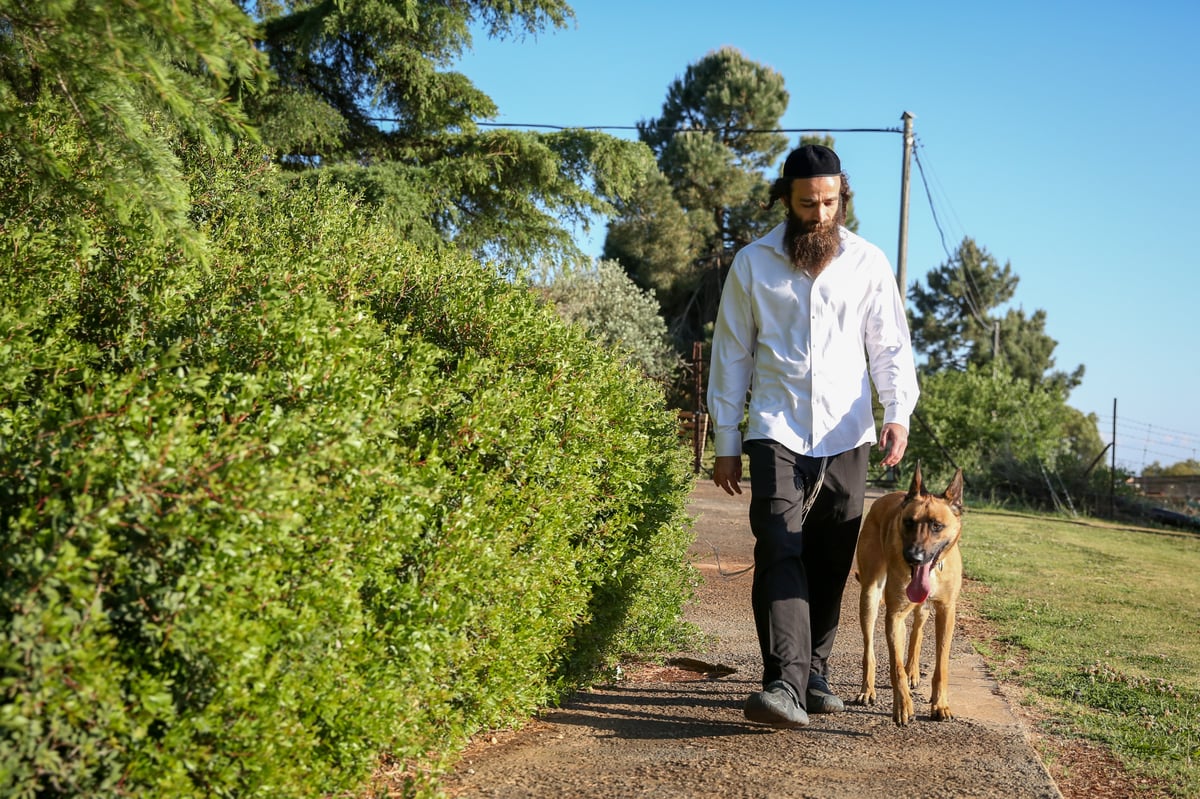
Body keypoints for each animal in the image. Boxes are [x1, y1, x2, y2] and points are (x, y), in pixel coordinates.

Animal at [854, 460, 964, 719]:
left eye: (937, 526)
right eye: (908, 523)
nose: (913, 557)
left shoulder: (947, 612)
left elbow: (941, 664)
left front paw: (940, 704)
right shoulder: (894, 615)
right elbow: (895, 666)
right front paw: (903, 705)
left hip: (921, 608)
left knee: (917, 632)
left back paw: (912, 669)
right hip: (870, 597)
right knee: (869, 649)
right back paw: (867, 689)